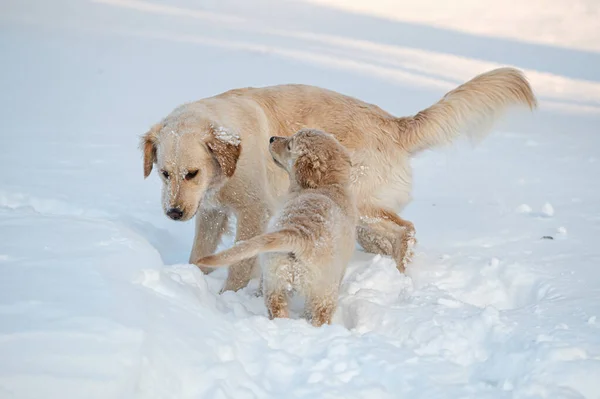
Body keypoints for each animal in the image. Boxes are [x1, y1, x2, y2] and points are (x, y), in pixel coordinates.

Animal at [143, 67, 536, 292]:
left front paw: (228, 298)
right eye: (164, 173)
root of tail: (394, 124)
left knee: (406, 229)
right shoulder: (211, 212)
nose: (174, 213)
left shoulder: (254, 211)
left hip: (358, 202)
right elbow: (199, 254)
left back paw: (402, 276)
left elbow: (239, 263)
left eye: (192, 173)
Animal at [196, 130, 356, 326]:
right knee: (319, 315)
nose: (272, 138)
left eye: (289, 146)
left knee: (276, 307)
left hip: (275, 279)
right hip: (323, 291)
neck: (327, 184)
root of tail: (299, 235)